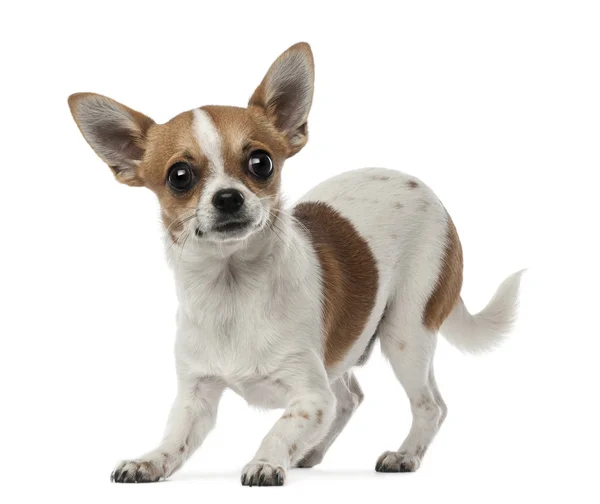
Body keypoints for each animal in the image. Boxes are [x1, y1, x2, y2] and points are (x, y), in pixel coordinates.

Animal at [68, 42, 524, 484]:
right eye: (179, 176)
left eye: (261, 163)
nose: (228, 197)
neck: (232, 289)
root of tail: (430, 194)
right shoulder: (196, 396)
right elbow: (174, 438)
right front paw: (149, 461)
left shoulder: (311, 395)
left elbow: (280, 427)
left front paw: (266, 462)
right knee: (352, 397)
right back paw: (312, 452)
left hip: (407, 331)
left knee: (430, 405)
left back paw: (405, 455)